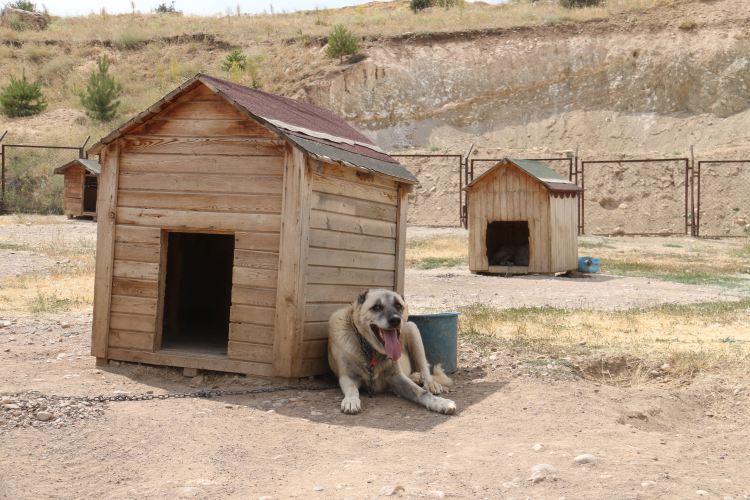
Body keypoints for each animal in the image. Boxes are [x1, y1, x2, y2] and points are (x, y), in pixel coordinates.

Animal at [328, 289, 456, 415]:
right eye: (376, 307)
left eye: (398, 305)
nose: (395, 320)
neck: (371, 351)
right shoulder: (347, 377)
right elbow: (351, 388)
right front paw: (351, 400)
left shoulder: (396, 377)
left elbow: (421, 392)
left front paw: (439, 402)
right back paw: (416, 377)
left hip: (412, 327)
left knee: (424, 368)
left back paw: (429, 383)